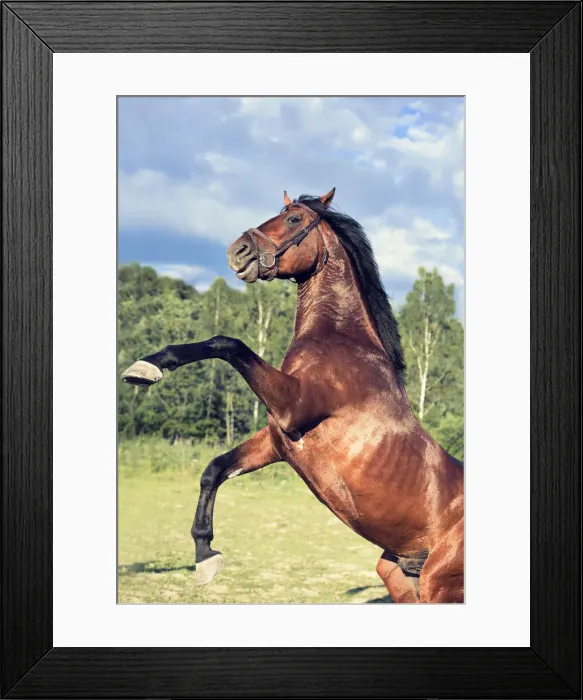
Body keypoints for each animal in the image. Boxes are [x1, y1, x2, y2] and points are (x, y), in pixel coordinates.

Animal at [121, 189, 464, 603]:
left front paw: (147, 368)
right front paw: (205, 555)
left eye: (294, 219)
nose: (238, 252)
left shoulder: (292, 406)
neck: (342, 343)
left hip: (439, 584)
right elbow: (214, 469)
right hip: (399, 574)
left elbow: (227, 343)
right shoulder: (277, 441)